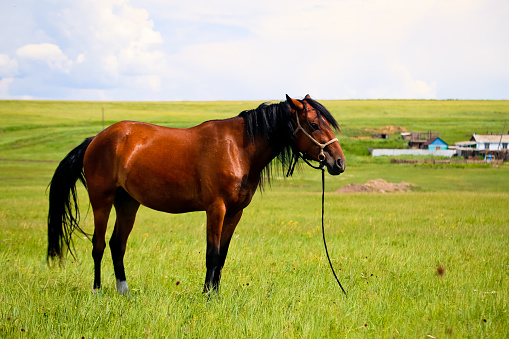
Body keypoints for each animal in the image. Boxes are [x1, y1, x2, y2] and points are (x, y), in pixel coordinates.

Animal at [46, 95, 346, 294]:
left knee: (116, 244)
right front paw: (206, 295)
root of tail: (95, 139)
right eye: (314, 124)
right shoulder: (216, 208)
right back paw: (97, 291)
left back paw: (125, 292)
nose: (339, 162)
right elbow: (211, 254)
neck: (238, 148)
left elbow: (222, 255)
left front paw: (215, 293)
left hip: (128, 203)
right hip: (102, 201)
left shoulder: (235, 213)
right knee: (97, 245)